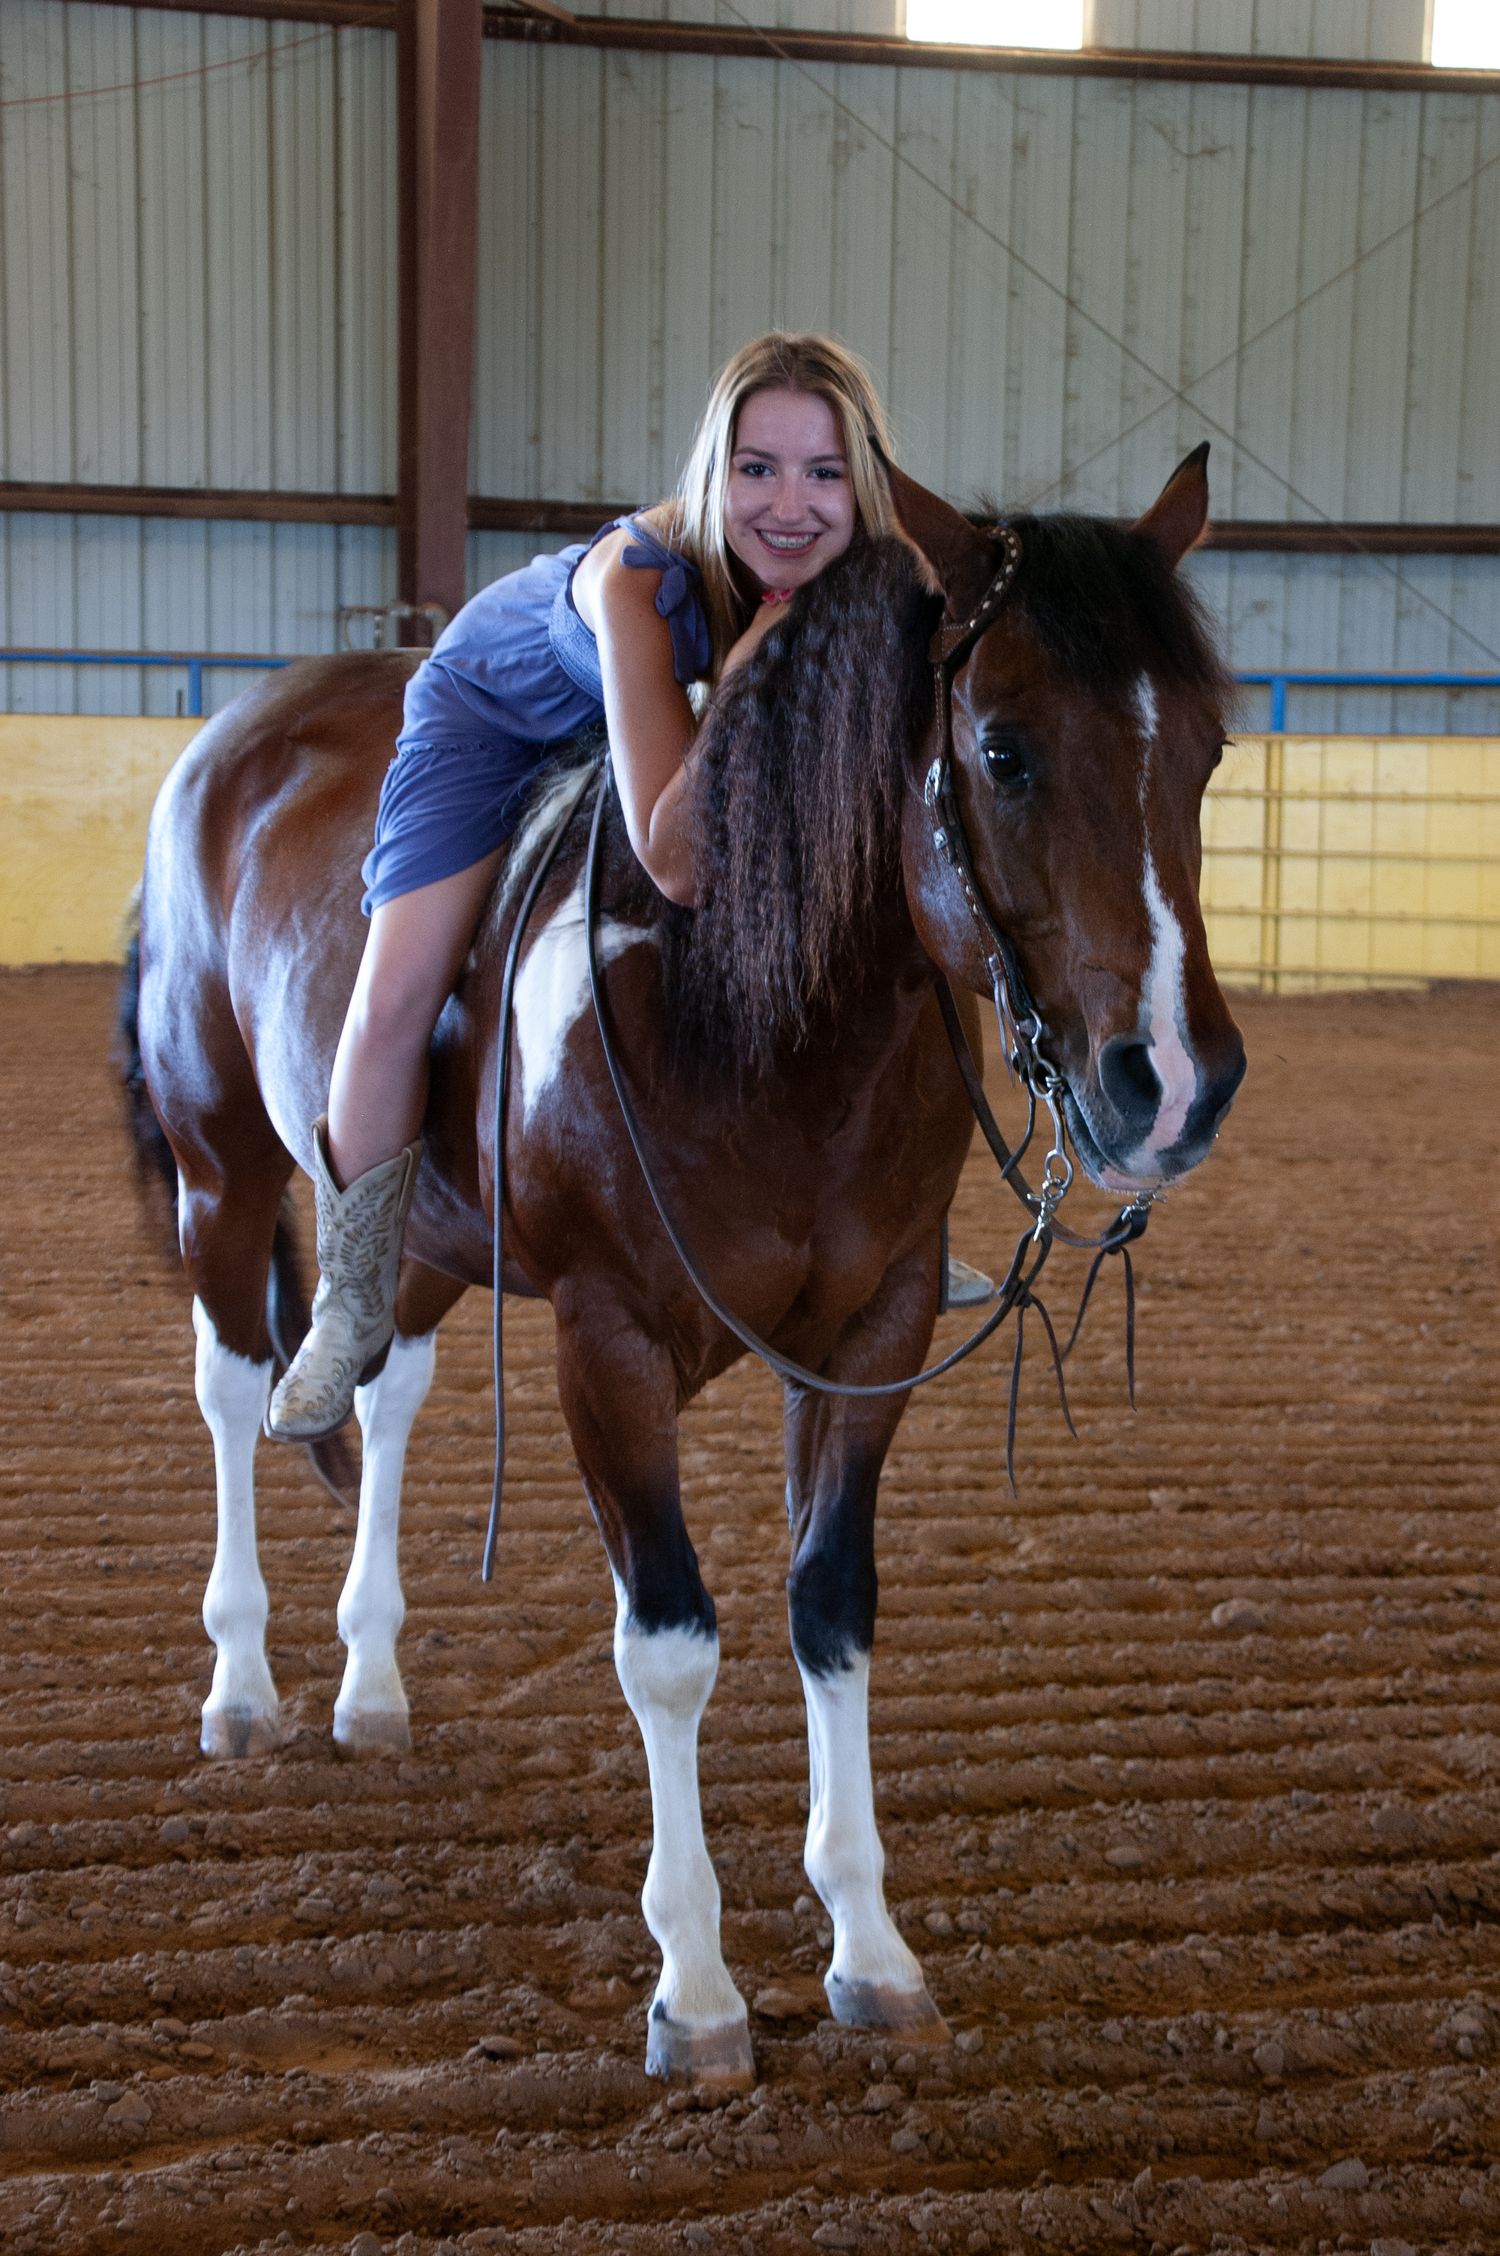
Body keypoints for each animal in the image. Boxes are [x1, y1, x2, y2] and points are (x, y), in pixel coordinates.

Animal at [124, 455, 1245, 2090]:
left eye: (1212, 748)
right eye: (1004, 749)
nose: (1174, 1083)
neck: (760, 1011)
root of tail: (239, 736)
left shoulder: (873, 1332)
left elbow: (831, 1603)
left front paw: (872, 1953)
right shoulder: (609, 1346)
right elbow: (667, 1642)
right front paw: (697, 1990)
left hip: (427, 1234)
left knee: (384, 1388)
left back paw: (372, 1685)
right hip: (220, 1164)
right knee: (230, 1385)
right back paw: (242, 1686)